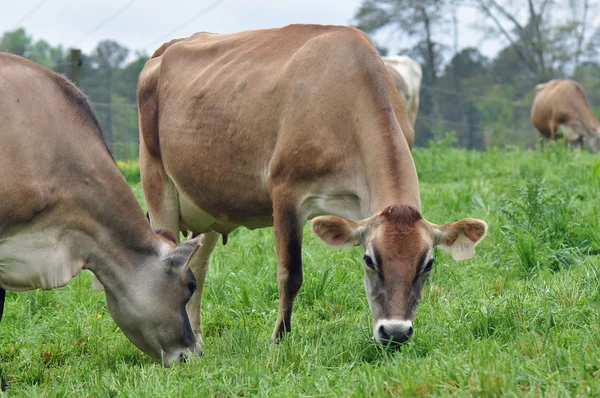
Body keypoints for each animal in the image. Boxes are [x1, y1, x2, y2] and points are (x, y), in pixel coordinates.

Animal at [137, 25, 488, 348]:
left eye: (428, 263)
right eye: (369, 259)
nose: (395, 332)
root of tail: (165, 49)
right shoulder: (286, 193)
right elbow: (290, 274)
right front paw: (280, 340)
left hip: (209, 205)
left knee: (196, 264)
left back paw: (196, 341)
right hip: (156, 182)